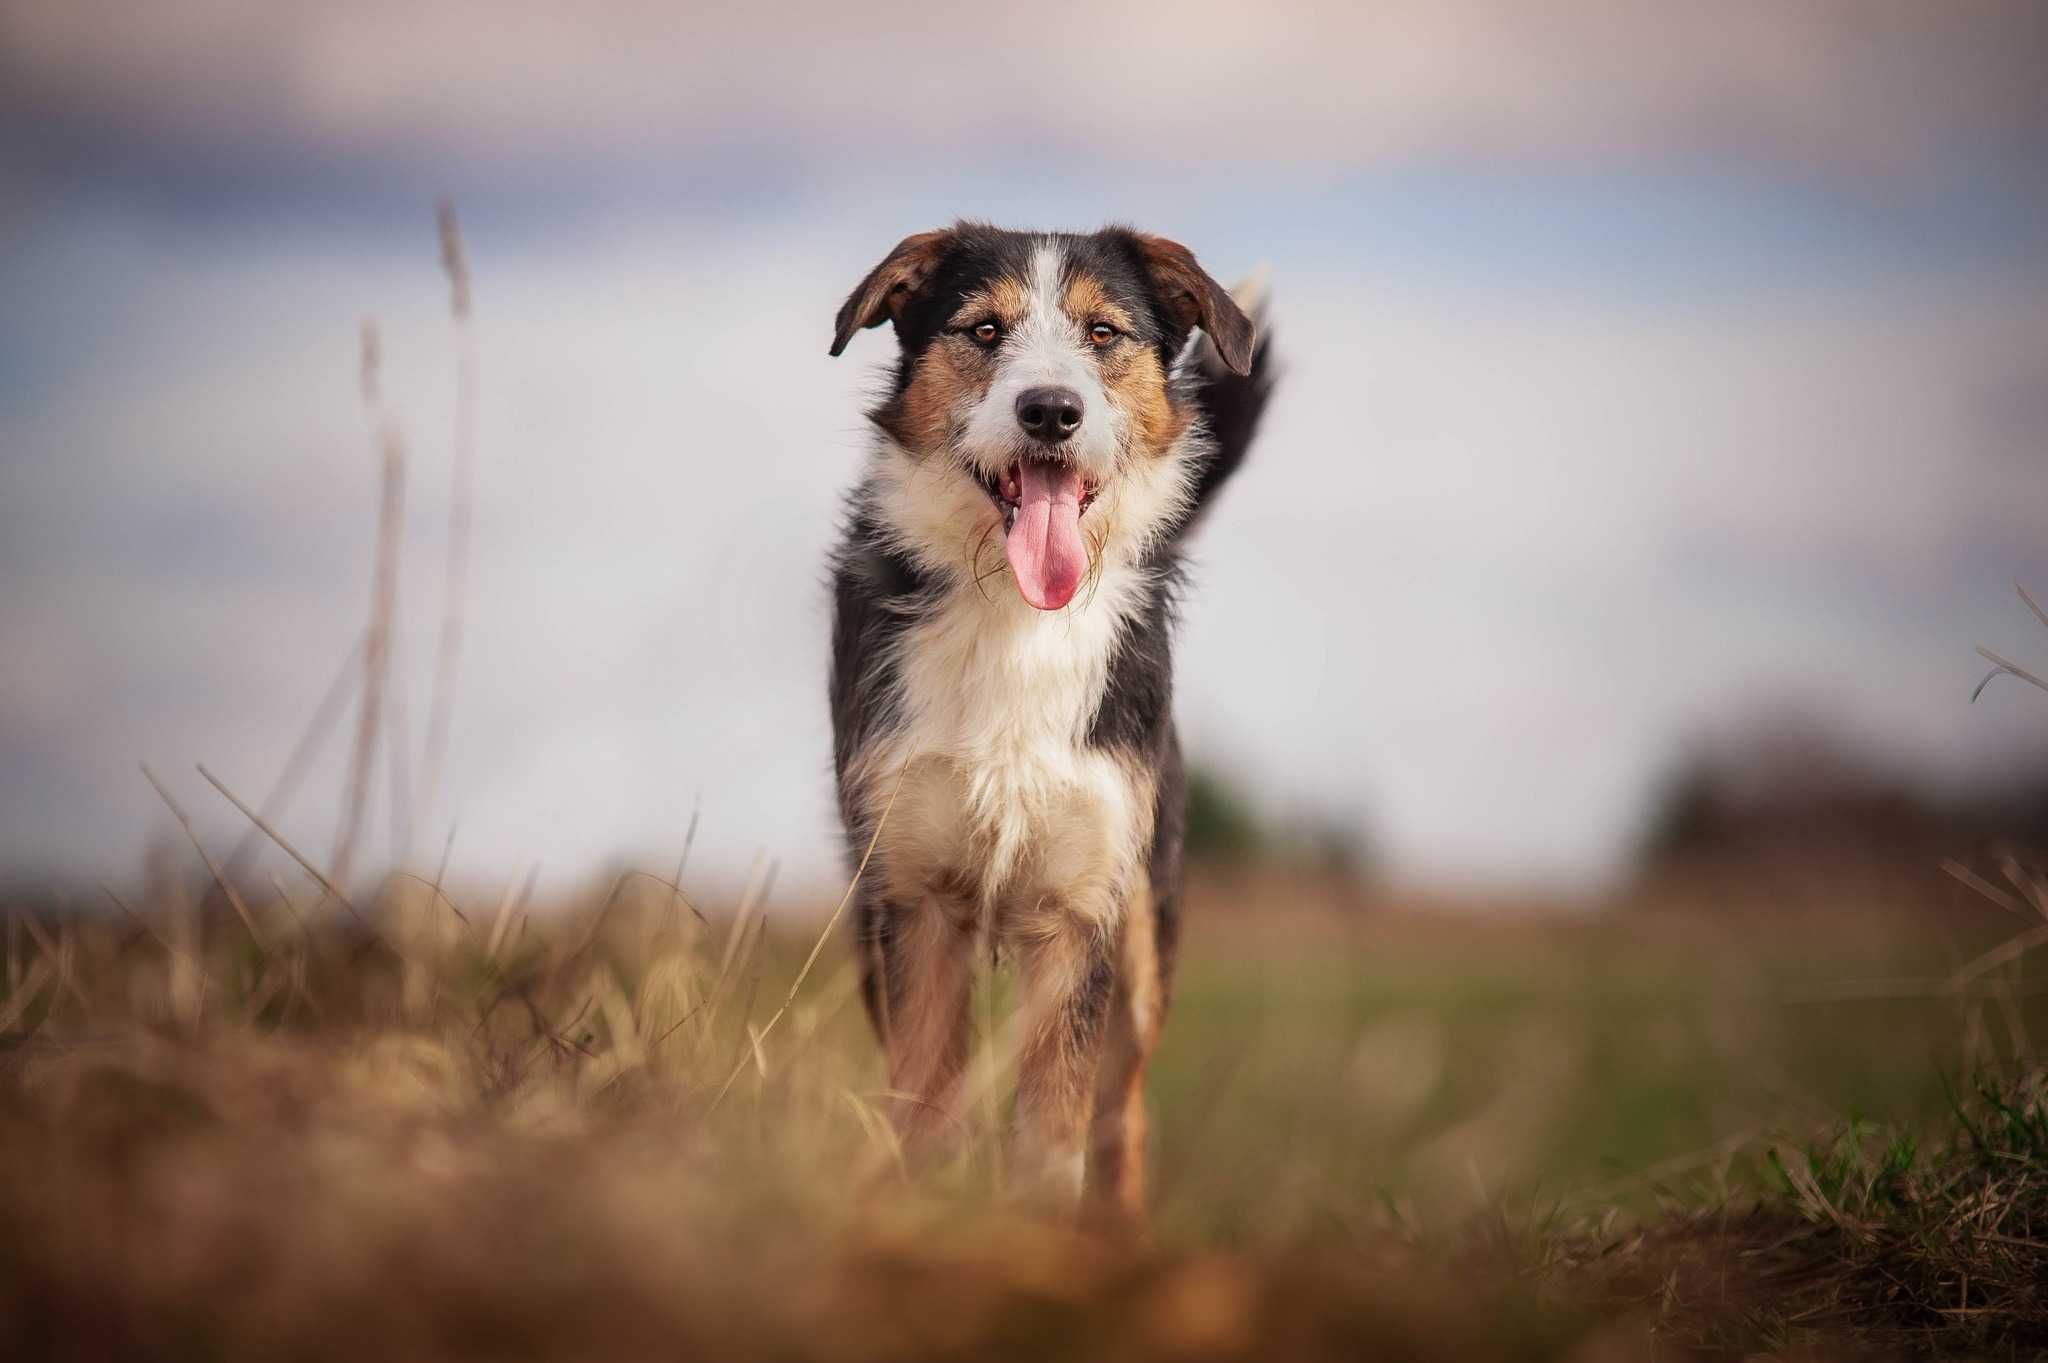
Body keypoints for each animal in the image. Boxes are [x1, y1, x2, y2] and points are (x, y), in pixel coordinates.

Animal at [823, 223, 1269, 1211]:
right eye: (985, 330)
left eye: (1103, 333)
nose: (1052, 412)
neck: (1015, 614)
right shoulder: (913, 897)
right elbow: (925, 1113)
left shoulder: (1078, 908)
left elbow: (1052, 1141)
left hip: (1144, 945)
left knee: (1122, 1117)